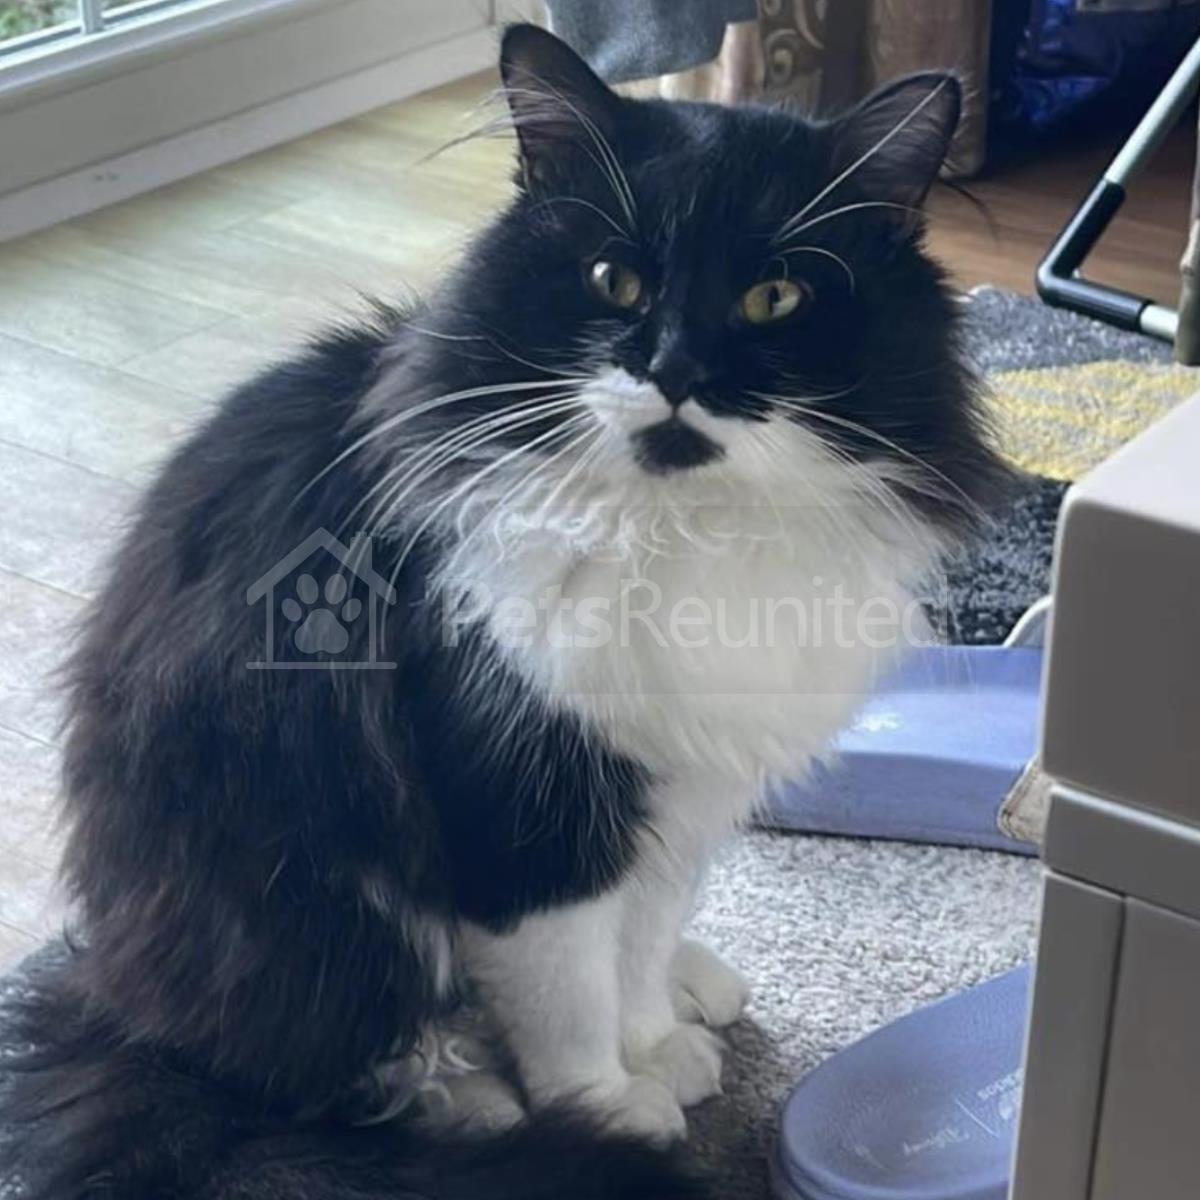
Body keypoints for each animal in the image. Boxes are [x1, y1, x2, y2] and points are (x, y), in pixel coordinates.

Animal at [1, 23, 1004, 1200]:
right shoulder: (525, 806)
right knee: (343, 1076)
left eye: (774, 298)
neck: (679, 531)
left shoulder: (675, 792)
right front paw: (613, 1112)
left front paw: (660, 1046)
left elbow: (638, 950)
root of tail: (113, 1012)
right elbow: (567, 997)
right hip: (318, 903)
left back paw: (694, 994)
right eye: (616, 280)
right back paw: (481, 1111)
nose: (674, 370)